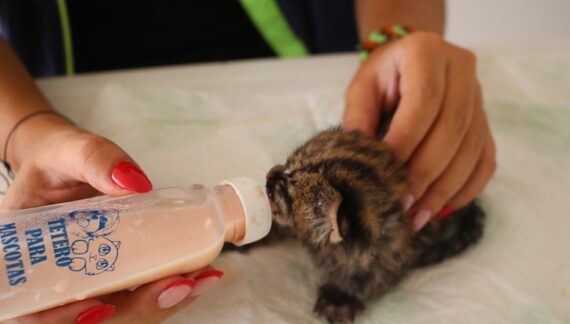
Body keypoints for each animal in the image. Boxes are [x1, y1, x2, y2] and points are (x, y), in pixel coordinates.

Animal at [266, 128, 484, 322]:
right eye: (287, 165)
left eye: (286, 192)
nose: (270, 175)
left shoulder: (392, 253)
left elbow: (370, 277)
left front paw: (339, 298)